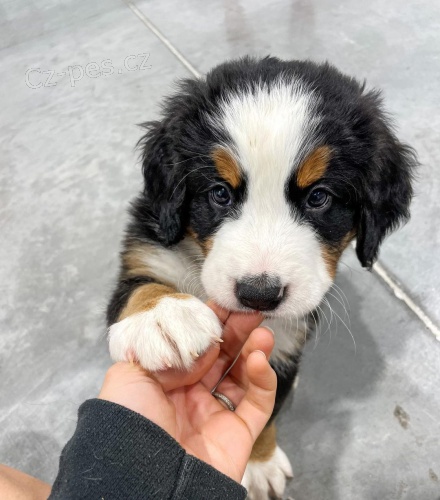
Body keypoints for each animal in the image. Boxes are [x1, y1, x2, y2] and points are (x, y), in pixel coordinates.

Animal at [106, 56, 415, 499]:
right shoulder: (147, 249)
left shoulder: (284, 342)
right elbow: (142, 288)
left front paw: (260, 463)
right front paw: (163, 317)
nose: (259, 294)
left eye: (318, 197)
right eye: (220, 192)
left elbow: (266, 413)